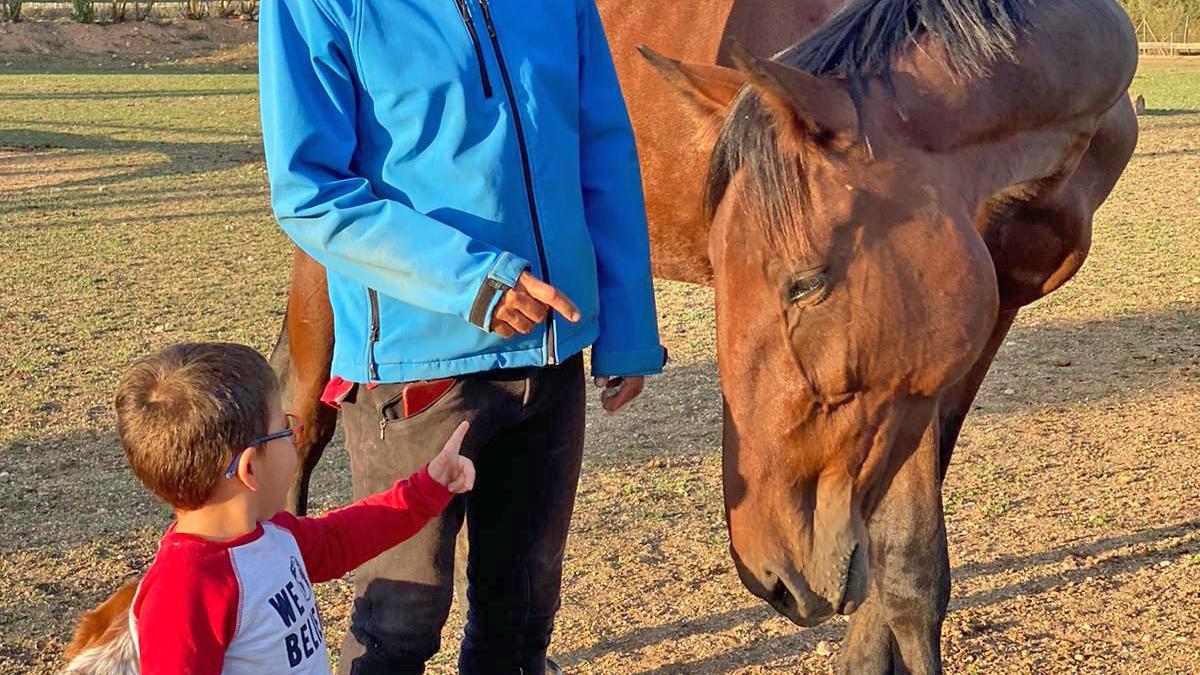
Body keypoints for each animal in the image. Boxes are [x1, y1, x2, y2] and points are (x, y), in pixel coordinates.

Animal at [272, 2, 1132, 667]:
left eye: (807, 281)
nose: (768, 571)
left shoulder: (968, 335)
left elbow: (906, 570)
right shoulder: (910, 368)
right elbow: (910, 572)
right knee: (303, 409)